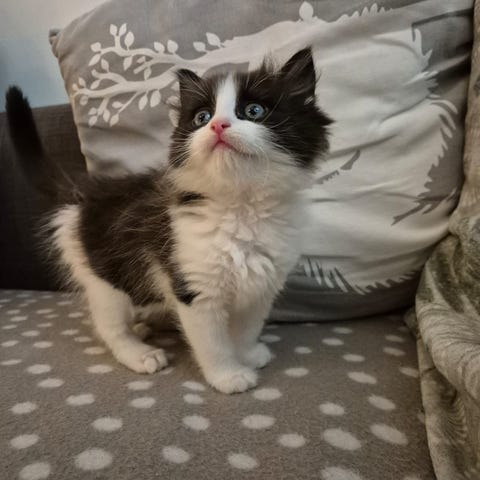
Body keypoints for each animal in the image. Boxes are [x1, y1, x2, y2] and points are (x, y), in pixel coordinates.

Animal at [5, 48, 331, 393]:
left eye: (254, 111)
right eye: (202, 117)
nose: (218, 126)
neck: (240, 206)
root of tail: (85, 192)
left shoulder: (263, 284)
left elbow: (247, 327)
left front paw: (247, 353)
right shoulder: (194, 285)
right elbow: (212, 342)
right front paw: (228, 376)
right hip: (104, 274)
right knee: (108, 324)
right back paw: (138, 352)